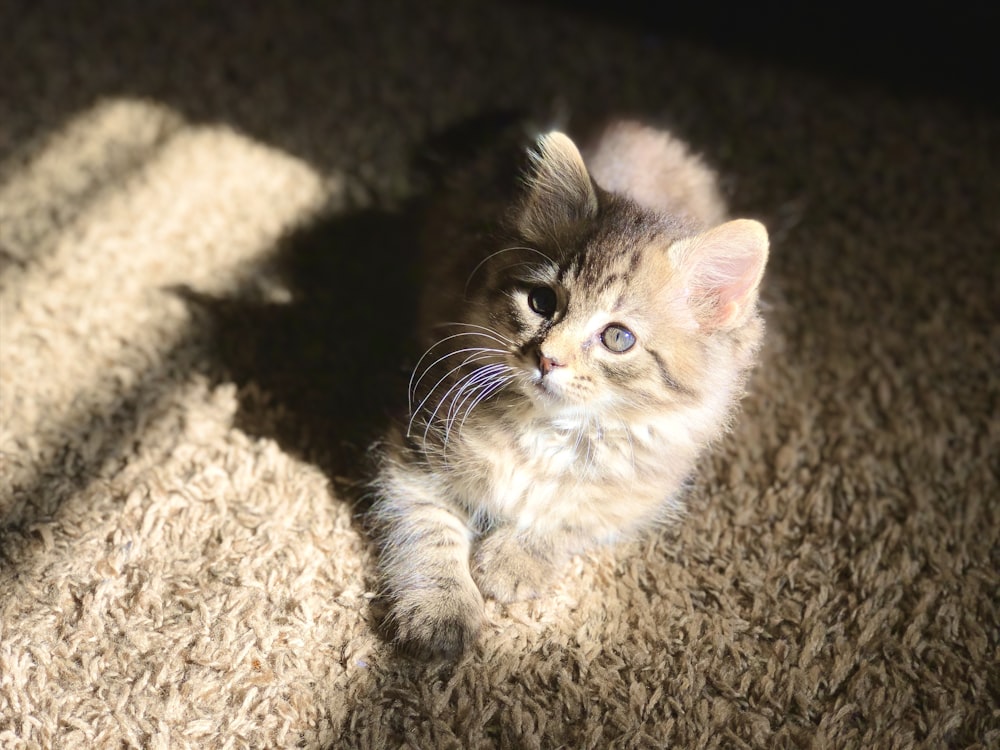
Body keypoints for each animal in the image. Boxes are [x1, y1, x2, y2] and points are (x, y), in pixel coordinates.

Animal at [372, 119, 768, 656]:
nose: (547, 358)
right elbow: (428, 529)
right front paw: (441, 610)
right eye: (542, 302)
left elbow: (572, 514)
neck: (548, 429)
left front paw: (514, 560)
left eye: (617, 338)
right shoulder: (416, 445)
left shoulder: (646, 485)